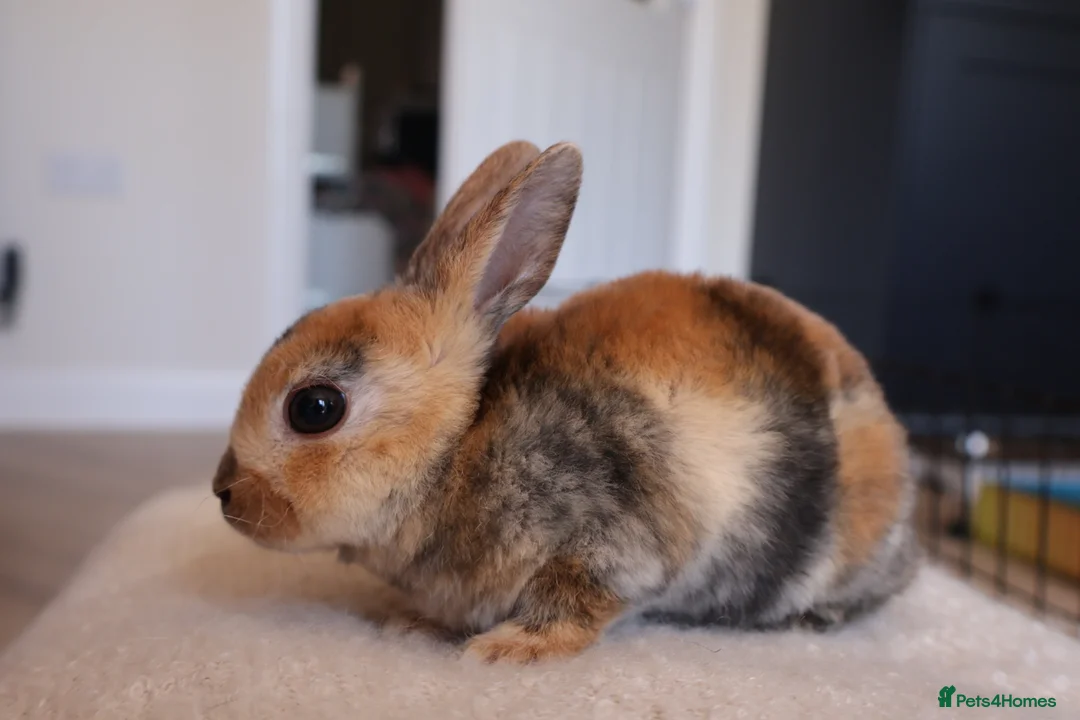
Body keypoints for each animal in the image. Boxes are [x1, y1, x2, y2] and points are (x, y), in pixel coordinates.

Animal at [212, 140, 920, 664]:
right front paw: (414, 627)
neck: (456, 449)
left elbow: (577, 607)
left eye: (315, 408)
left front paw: (504, 651)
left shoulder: (611, 546)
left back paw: (815, 617)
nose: (224, 493)